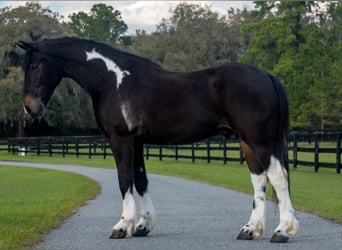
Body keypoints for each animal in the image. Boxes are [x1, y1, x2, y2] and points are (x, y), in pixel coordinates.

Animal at [17, 36, 298, 242]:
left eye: (34, 65)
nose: (30, 107)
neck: (112, 80)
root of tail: (266, 76)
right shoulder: (137, 142)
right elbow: (140, 180)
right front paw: (143, 225)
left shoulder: (121, 140)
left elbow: (124, 180)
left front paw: (123, 226)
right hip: (246, 142)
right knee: (259, 180)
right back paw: (250, 230)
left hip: (260, 140)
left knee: (277, 177)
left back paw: (282, 231)